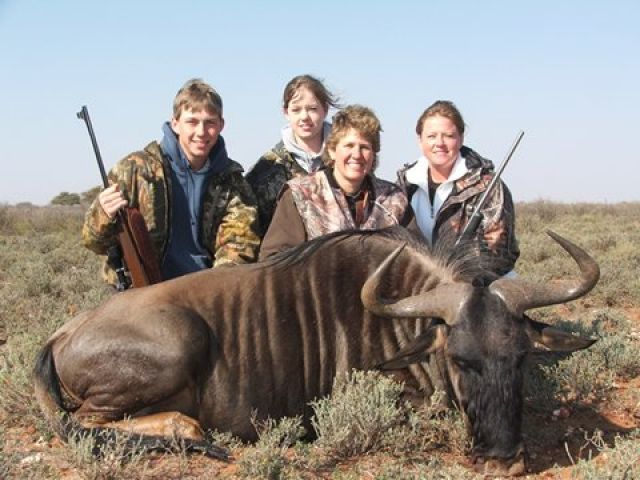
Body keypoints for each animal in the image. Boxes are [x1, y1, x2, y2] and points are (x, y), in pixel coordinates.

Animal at [33, 227, 599, 476]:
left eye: (520, 359)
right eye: (461, 360)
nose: (504, 461)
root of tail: (63, 333)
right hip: (179, 342)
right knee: (82, 423)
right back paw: (189, 430)